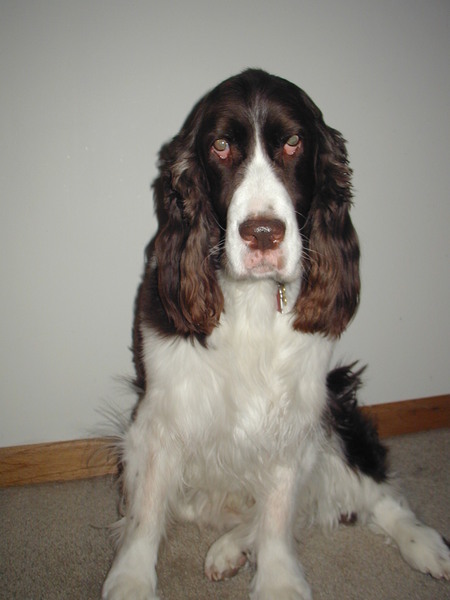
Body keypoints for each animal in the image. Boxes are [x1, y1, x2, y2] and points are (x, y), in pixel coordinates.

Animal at [102, 69, 450, 599]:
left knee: (371, 487)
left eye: (292, 142)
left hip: (335, 404)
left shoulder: (297, 411)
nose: (262, 233)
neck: (251, 300)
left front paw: (279, 580)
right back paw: (229, 548)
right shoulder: (161, 413)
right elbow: (146, 511)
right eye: (221, 145)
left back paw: (424, 544)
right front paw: (131, 580)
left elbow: (281, 510)